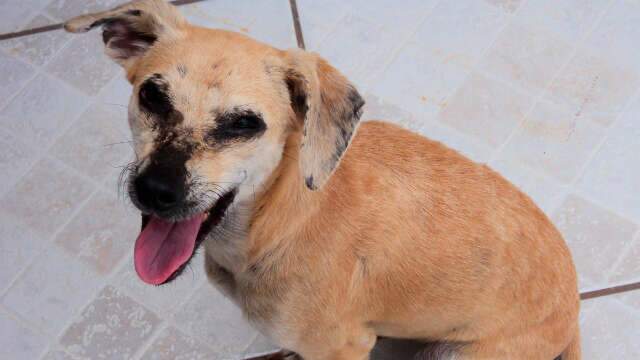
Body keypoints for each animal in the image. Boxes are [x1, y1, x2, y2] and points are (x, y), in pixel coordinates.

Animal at [63, 1, 580, 358]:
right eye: (152, 95)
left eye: (244, 124)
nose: (156, 190)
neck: (277, 222)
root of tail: (572, 314)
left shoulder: (342, 347)